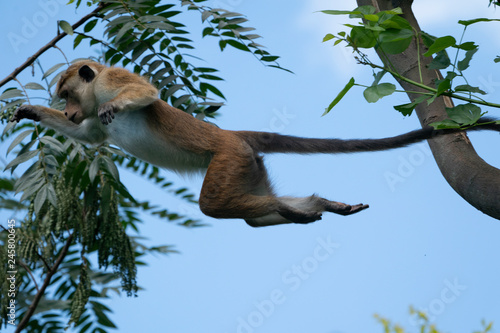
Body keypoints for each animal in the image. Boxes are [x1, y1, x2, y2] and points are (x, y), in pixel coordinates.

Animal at [9, 59, 500, 227]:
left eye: (68, 94)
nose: (69, 109)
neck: (94, 97)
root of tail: (232, 136)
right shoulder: (93, 121)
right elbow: (87, 136)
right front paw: (32, 113)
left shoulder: (111, 82)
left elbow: (146, 93)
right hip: (249, 163)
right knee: (249, 211)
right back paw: (312, 207)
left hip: (229, 157)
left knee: (214, 204)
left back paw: (291, 209)